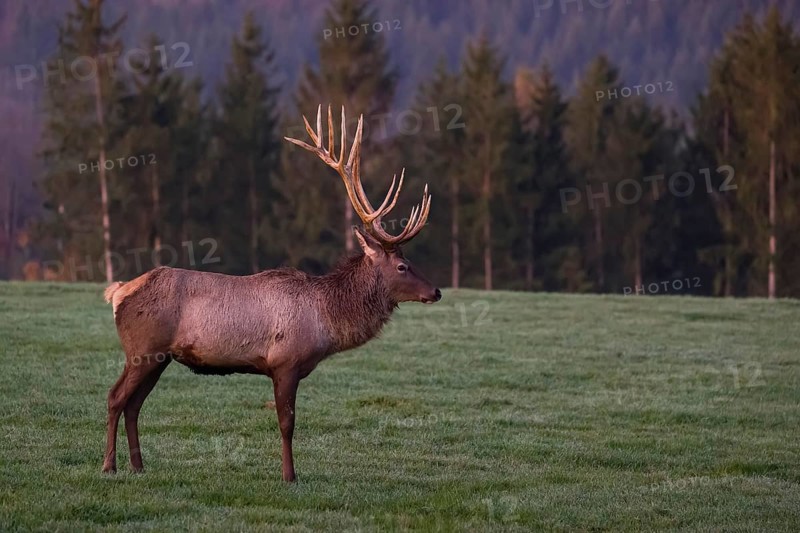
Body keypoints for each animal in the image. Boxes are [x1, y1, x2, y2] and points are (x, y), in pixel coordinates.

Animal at [101, 105, 441, 482]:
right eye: (403, 266)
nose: (436, 291)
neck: (326, 319)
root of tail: (117, 293)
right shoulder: (285, 362)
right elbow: (287, 423)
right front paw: (289, 475)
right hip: (142, 349)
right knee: (116, 398)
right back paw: (109, 465)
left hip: (159, 357)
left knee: (133, 405)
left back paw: (138, 466)